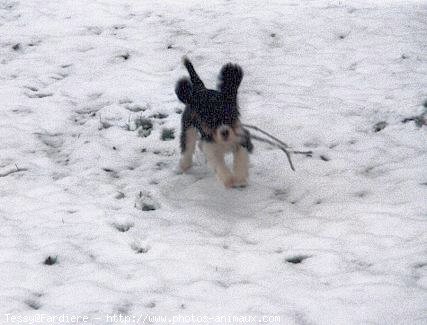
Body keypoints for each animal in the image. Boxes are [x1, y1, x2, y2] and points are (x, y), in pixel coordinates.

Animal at [176, 57, 252, 186]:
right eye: (210, 121)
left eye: (229, 116)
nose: (225, 132)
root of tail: (200, 88)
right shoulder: (210, 145)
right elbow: (218, 162)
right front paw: (228, 179)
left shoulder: (240, 137)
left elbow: (241, 155)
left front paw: (240, 177)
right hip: (189, 126)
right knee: (188, 145)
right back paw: (184, 165)